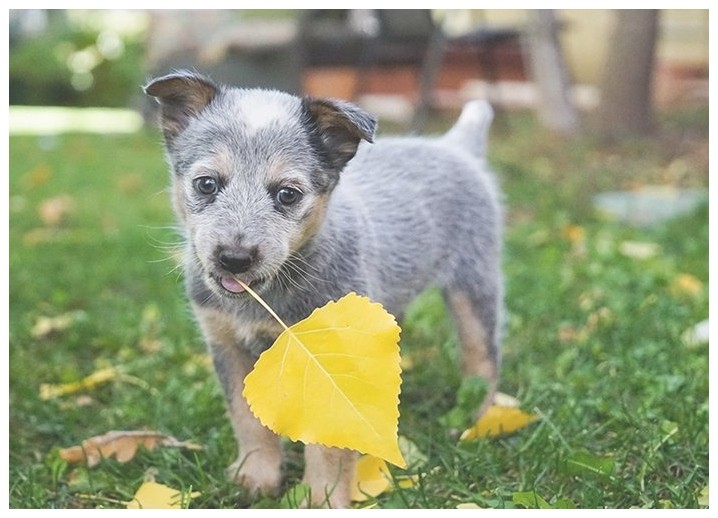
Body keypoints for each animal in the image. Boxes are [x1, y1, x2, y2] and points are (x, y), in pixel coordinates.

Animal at [145, 71, 506, 510]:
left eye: (287, 193)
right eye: (207, 184)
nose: (234, 258)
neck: (272, 298)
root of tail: (454, 145)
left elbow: (331, 445)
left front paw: (323, 499)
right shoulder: (226, 345)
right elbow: (246, 420)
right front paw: (257, 475)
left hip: (474, 282)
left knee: (482, 356)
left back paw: (476, 422)